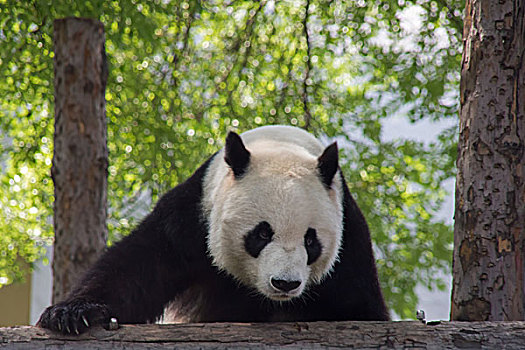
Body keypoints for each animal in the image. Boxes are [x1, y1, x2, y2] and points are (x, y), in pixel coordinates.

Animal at [37, 123, 388, 334]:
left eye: (310, 240)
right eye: (262, 233)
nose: (285, 283)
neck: (280, 145)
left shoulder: (349, 241)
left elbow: (359, 306)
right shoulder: (193, 218)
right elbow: (135, 270)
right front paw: (72, 315)